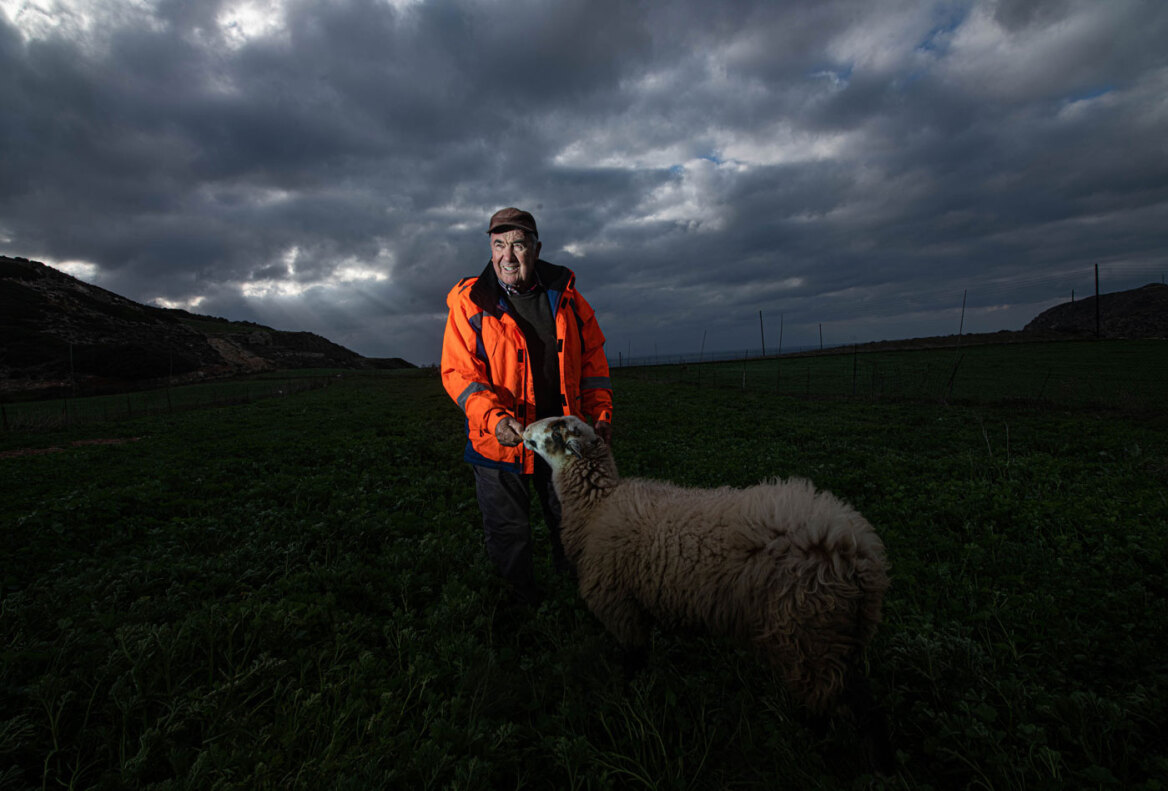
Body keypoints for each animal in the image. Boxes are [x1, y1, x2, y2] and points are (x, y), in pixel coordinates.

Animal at [520, 413, 892, 766]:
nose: (523, 430)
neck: (596, 507)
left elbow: (634, 656)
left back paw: (810, 742)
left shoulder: (619, 606)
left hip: (808, 635)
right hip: (839, 636)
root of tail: (859, 553)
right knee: (861, 699)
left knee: (825, 703)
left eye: (556, 427)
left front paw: (628, 691)